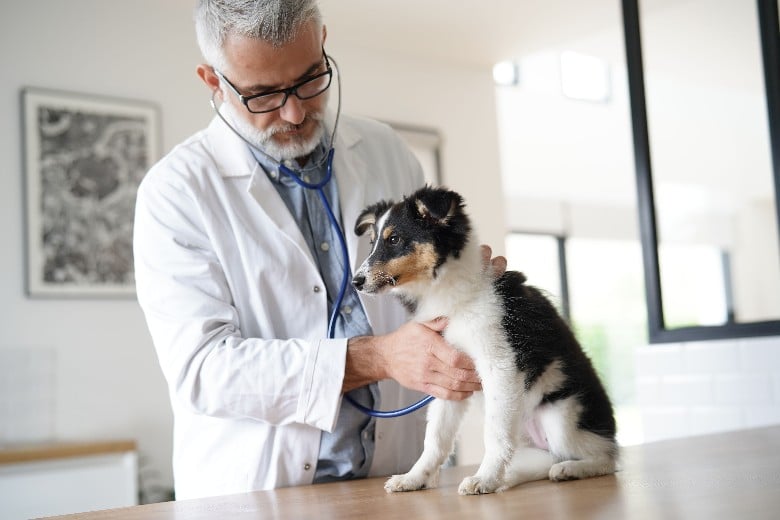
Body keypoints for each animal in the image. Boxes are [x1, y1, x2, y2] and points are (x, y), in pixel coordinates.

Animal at [352, 186, 616, 496]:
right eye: (372, 243)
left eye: (394, 239)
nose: (356, 282)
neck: (454, 294)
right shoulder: (446, 373)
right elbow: (436, 437)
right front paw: (414, 478)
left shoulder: (500, 365)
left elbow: (494, 432)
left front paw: (484, 479)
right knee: (544, 458)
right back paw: (514, 476)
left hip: (561, 416)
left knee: (605, 457)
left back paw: (570, 469)